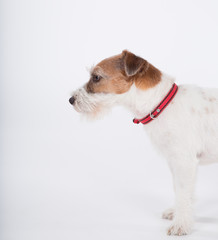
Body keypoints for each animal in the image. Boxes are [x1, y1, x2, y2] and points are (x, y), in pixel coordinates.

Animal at [69, 49, 218, 235]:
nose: (71, 100)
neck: (160, 104)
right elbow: (180, 191)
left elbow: (183, 192)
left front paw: (181, 224)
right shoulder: (175, 162)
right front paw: (177, 212)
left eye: (96, 77)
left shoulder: (184, 162)